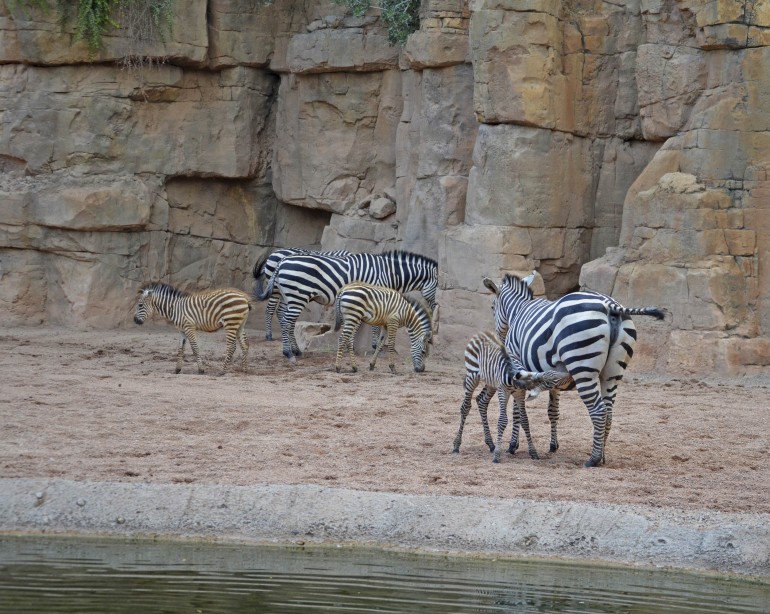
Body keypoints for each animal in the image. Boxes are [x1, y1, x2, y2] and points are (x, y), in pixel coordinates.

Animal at [255, 250, 439, 362]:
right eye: (438, 286)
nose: (435, 306)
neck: (388, 273)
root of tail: (282, 260)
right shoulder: (375, 294)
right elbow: (374, 325)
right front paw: (374, 346)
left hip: (289, 295)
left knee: (285, 319)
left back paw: (295, 350)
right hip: (296, 294)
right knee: (286, 321)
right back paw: (288, 353)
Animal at [452, 331, 572, 463]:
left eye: (553, 373)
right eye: (552, 380)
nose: (569, 373)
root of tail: (482, 333)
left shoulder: (519, 394)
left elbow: (524, 420)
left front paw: (533, 452)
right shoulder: (502, 391)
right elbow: (502, 420)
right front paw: (497, 456)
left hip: (490, 382)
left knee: (481, 401)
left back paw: (491, 444)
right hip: (472, 375)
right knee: (466, 407)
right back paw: (456, 445)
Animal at [484, 272, 666, 467]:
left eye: (492, 307)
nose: (500, 337)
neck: (519, 310)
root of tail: (609, 303)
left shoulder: (518, 367)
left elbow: (518, 411)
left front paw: (512, 445)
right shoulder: (553, 378)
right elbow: (553, 411)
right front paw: (553, 445)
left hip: (583, 368)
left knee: (599, 411)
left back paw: (593, 459)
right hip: (612, 374)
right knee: (608, 412)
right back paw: (602, 456)